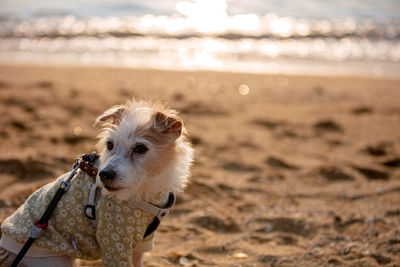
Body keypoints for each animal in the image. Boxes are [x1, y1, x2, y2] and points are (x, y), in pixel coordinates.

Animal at [0, 100, 194, 267]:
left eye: (140, 148)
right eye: (110, 145)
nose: (104, 174)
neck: (143, 192)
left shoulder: (142, 244)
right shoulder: (114, 243)